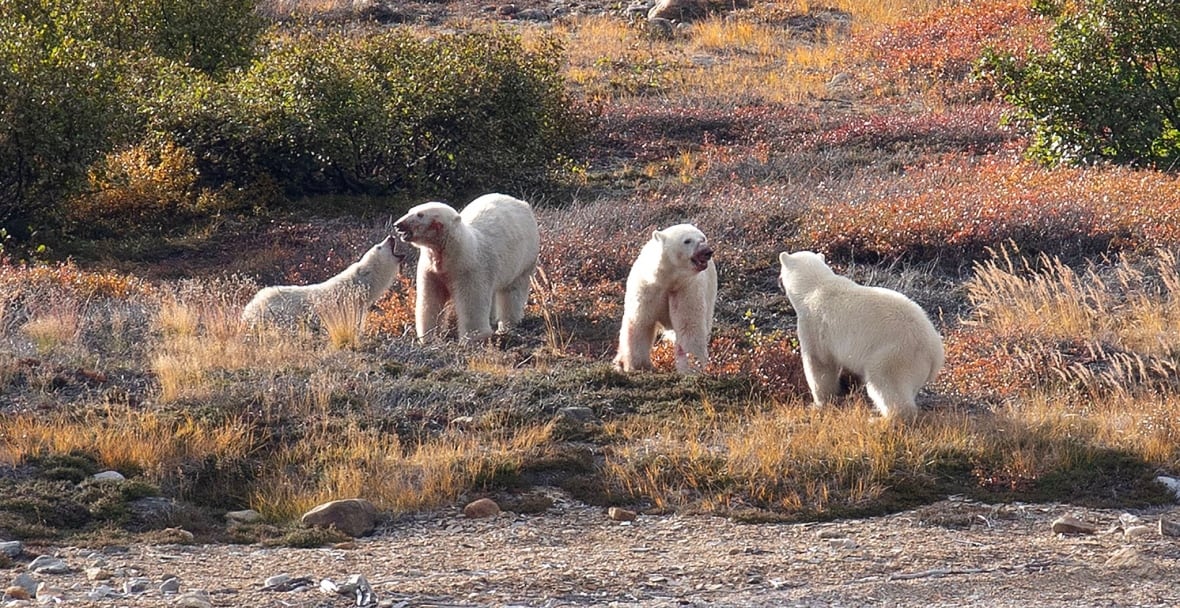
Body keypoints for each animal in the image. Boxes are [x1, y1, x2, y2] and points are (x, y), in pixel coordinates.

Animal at [393, 193, 540, 342]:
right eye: (410, 210)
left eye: (420, 214)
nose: (397, 225)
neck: (451, 253)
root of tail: (522, 203)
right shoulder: (431, 270)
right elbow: (430, 299)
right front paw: (428, 337)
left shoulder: (469, 268)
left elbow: (471, 301)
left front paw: (474, 337)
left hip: (524, 258)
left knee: (513, 291)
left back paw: (507, 325)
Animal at [614, 223, 717, 373]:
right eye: (687, 241)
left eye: (703, 238)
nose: (707, 251)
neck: (668, 280)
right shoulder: (648, 289)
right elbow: (640, 323)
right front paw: (638, 366)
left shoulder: (686, 289)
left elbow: (689, 327)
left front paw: (691, 368)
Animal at [777, 250, 944, 420]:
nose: (778, 281)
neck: (815, 287)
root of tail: (935, 353)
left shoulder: (813, 325)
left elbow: (819, 364)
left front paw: (819, 403)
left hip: (895, 355)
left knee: (885, 383)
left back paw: (880, 418)